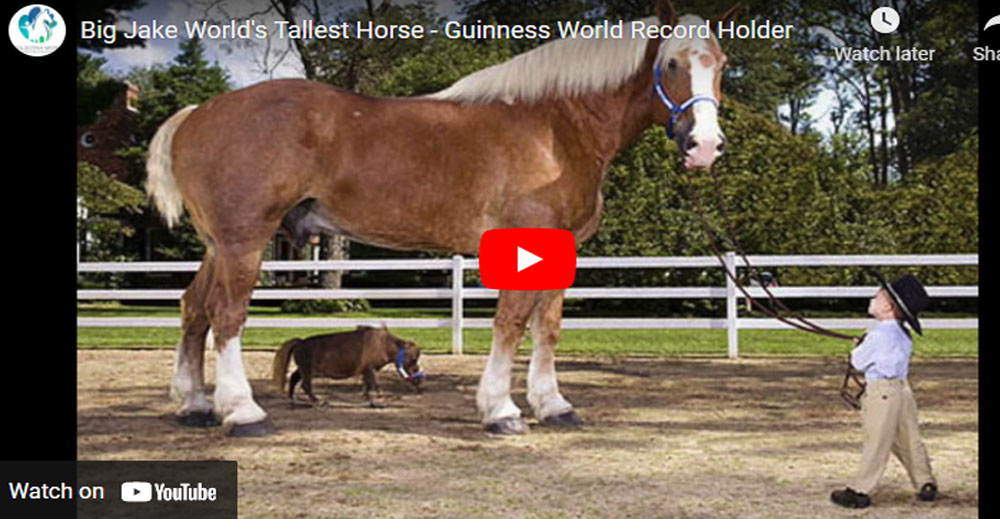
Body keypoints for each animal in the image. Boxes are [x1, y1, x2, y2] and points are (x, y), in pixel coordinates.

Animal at [150, 0, 744, 436]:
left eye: (719, 65)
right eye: (672, 63)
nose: (705, 146)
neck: (553, 128)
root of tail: (197, 114)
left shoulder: (563, 249)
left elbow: (547, 327)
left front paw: (553, 406)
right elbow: (511, 324)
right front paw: (501, 411)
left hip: (219, 244)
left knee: (193, 309)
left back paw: (195, 405)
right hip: (244, 240)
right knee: (226, 315)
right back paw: (242, 412)